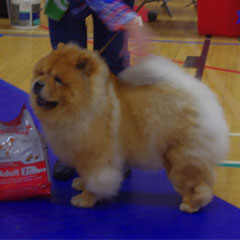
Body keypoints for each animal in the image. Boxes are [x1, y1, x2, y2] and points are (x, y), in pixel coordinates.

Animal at [30, 43, 229, 212]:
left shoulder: (95, 158)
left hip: (179, 157)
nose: (37, 84)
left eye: (58, 79)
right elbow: (85, 176)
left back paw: (190, 205)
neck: (87, 104)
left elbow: (95, 181)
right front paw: (80, 183)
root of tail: (198, 93)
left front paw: (85, 199)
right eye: (41, 73)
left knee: (196, 184)